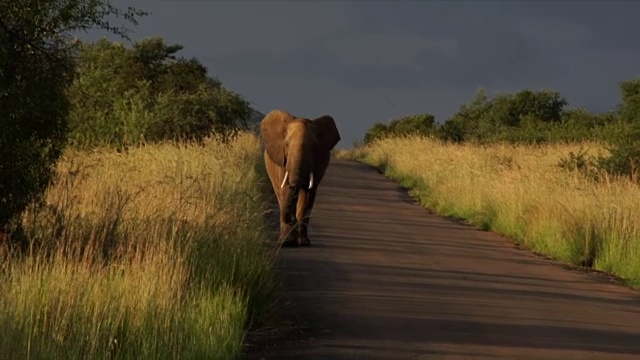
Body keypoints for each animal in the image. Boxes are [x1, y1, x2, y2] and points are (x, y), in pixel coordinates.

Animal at [258, 108, 342, 246]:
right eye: (286, 145)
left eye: (314, 146)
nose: (292, 219)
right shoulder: (283, 160)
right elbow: (285, 190)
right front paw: (287, 242)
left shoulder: (319, 163)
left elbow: (308, 194)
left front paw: (303, 243)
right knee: (279, 193)